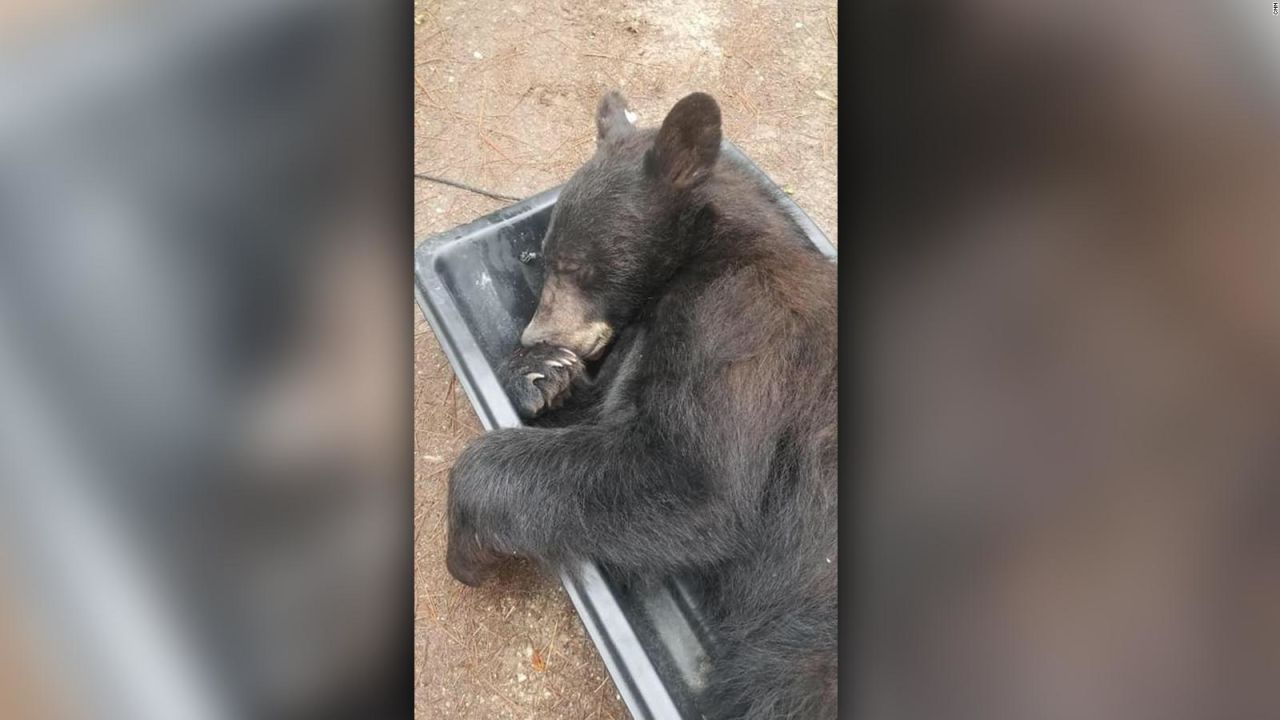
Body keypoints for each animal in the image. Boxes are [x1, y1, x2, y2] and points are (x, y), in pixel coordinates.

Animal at [445, 89, 834, 717]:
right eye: (543, 256)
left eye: (576, 265)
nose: (534, 334)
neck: (700, 252)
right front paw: (541, 375)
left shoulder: (738, 324)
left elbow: (692, 480)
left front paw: (468, 547)